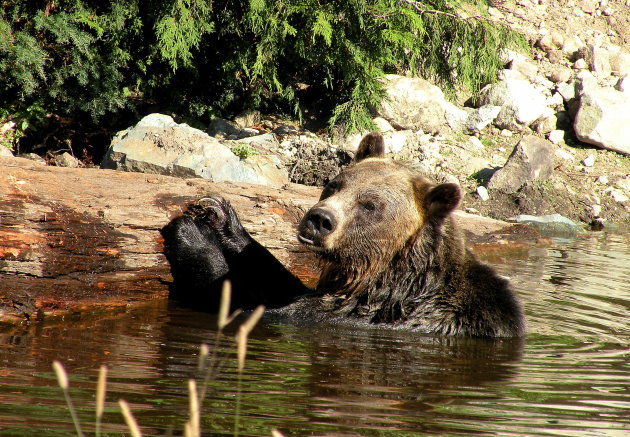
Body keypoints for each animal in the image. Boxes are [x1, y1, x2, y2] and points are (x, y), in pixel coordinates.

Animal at [160, 131, 524, 336]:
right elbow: (281, 281)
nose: (319, 219)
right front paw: (217, 214)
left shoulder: (365, 314)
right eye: (334, 185)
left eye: (369, 205)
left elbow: (250, 305)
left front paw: (191, 235)